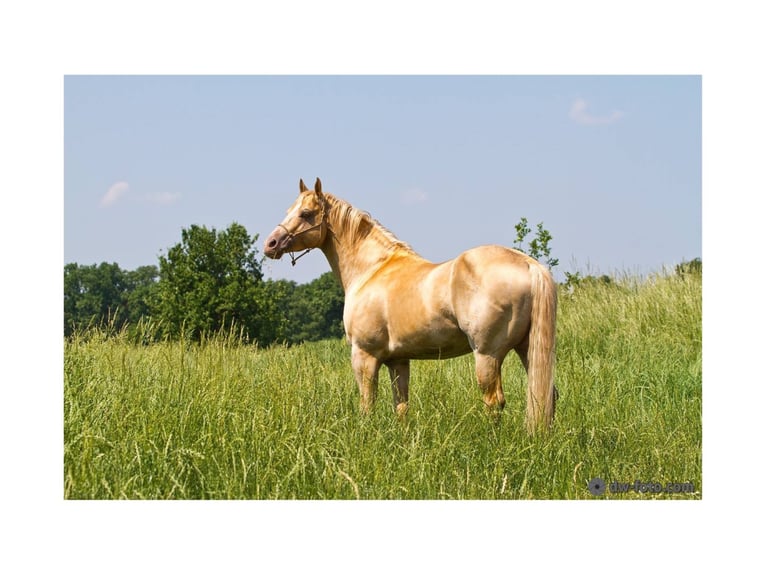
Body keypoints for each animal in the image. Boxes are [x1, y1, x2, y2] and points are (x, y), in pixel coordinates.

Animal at [264, 178, 558, 432]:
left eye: (305, 213)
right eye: (289, 210)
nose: (270, 244)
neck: (372, 269)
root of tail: (527, 264)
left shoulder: (364, 356)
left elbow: (367, 405)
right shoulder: (399, 361)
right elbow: (401, 406)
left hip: (487, 354)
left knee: (494, 401)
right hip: (527, 348)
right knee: (546, 395)